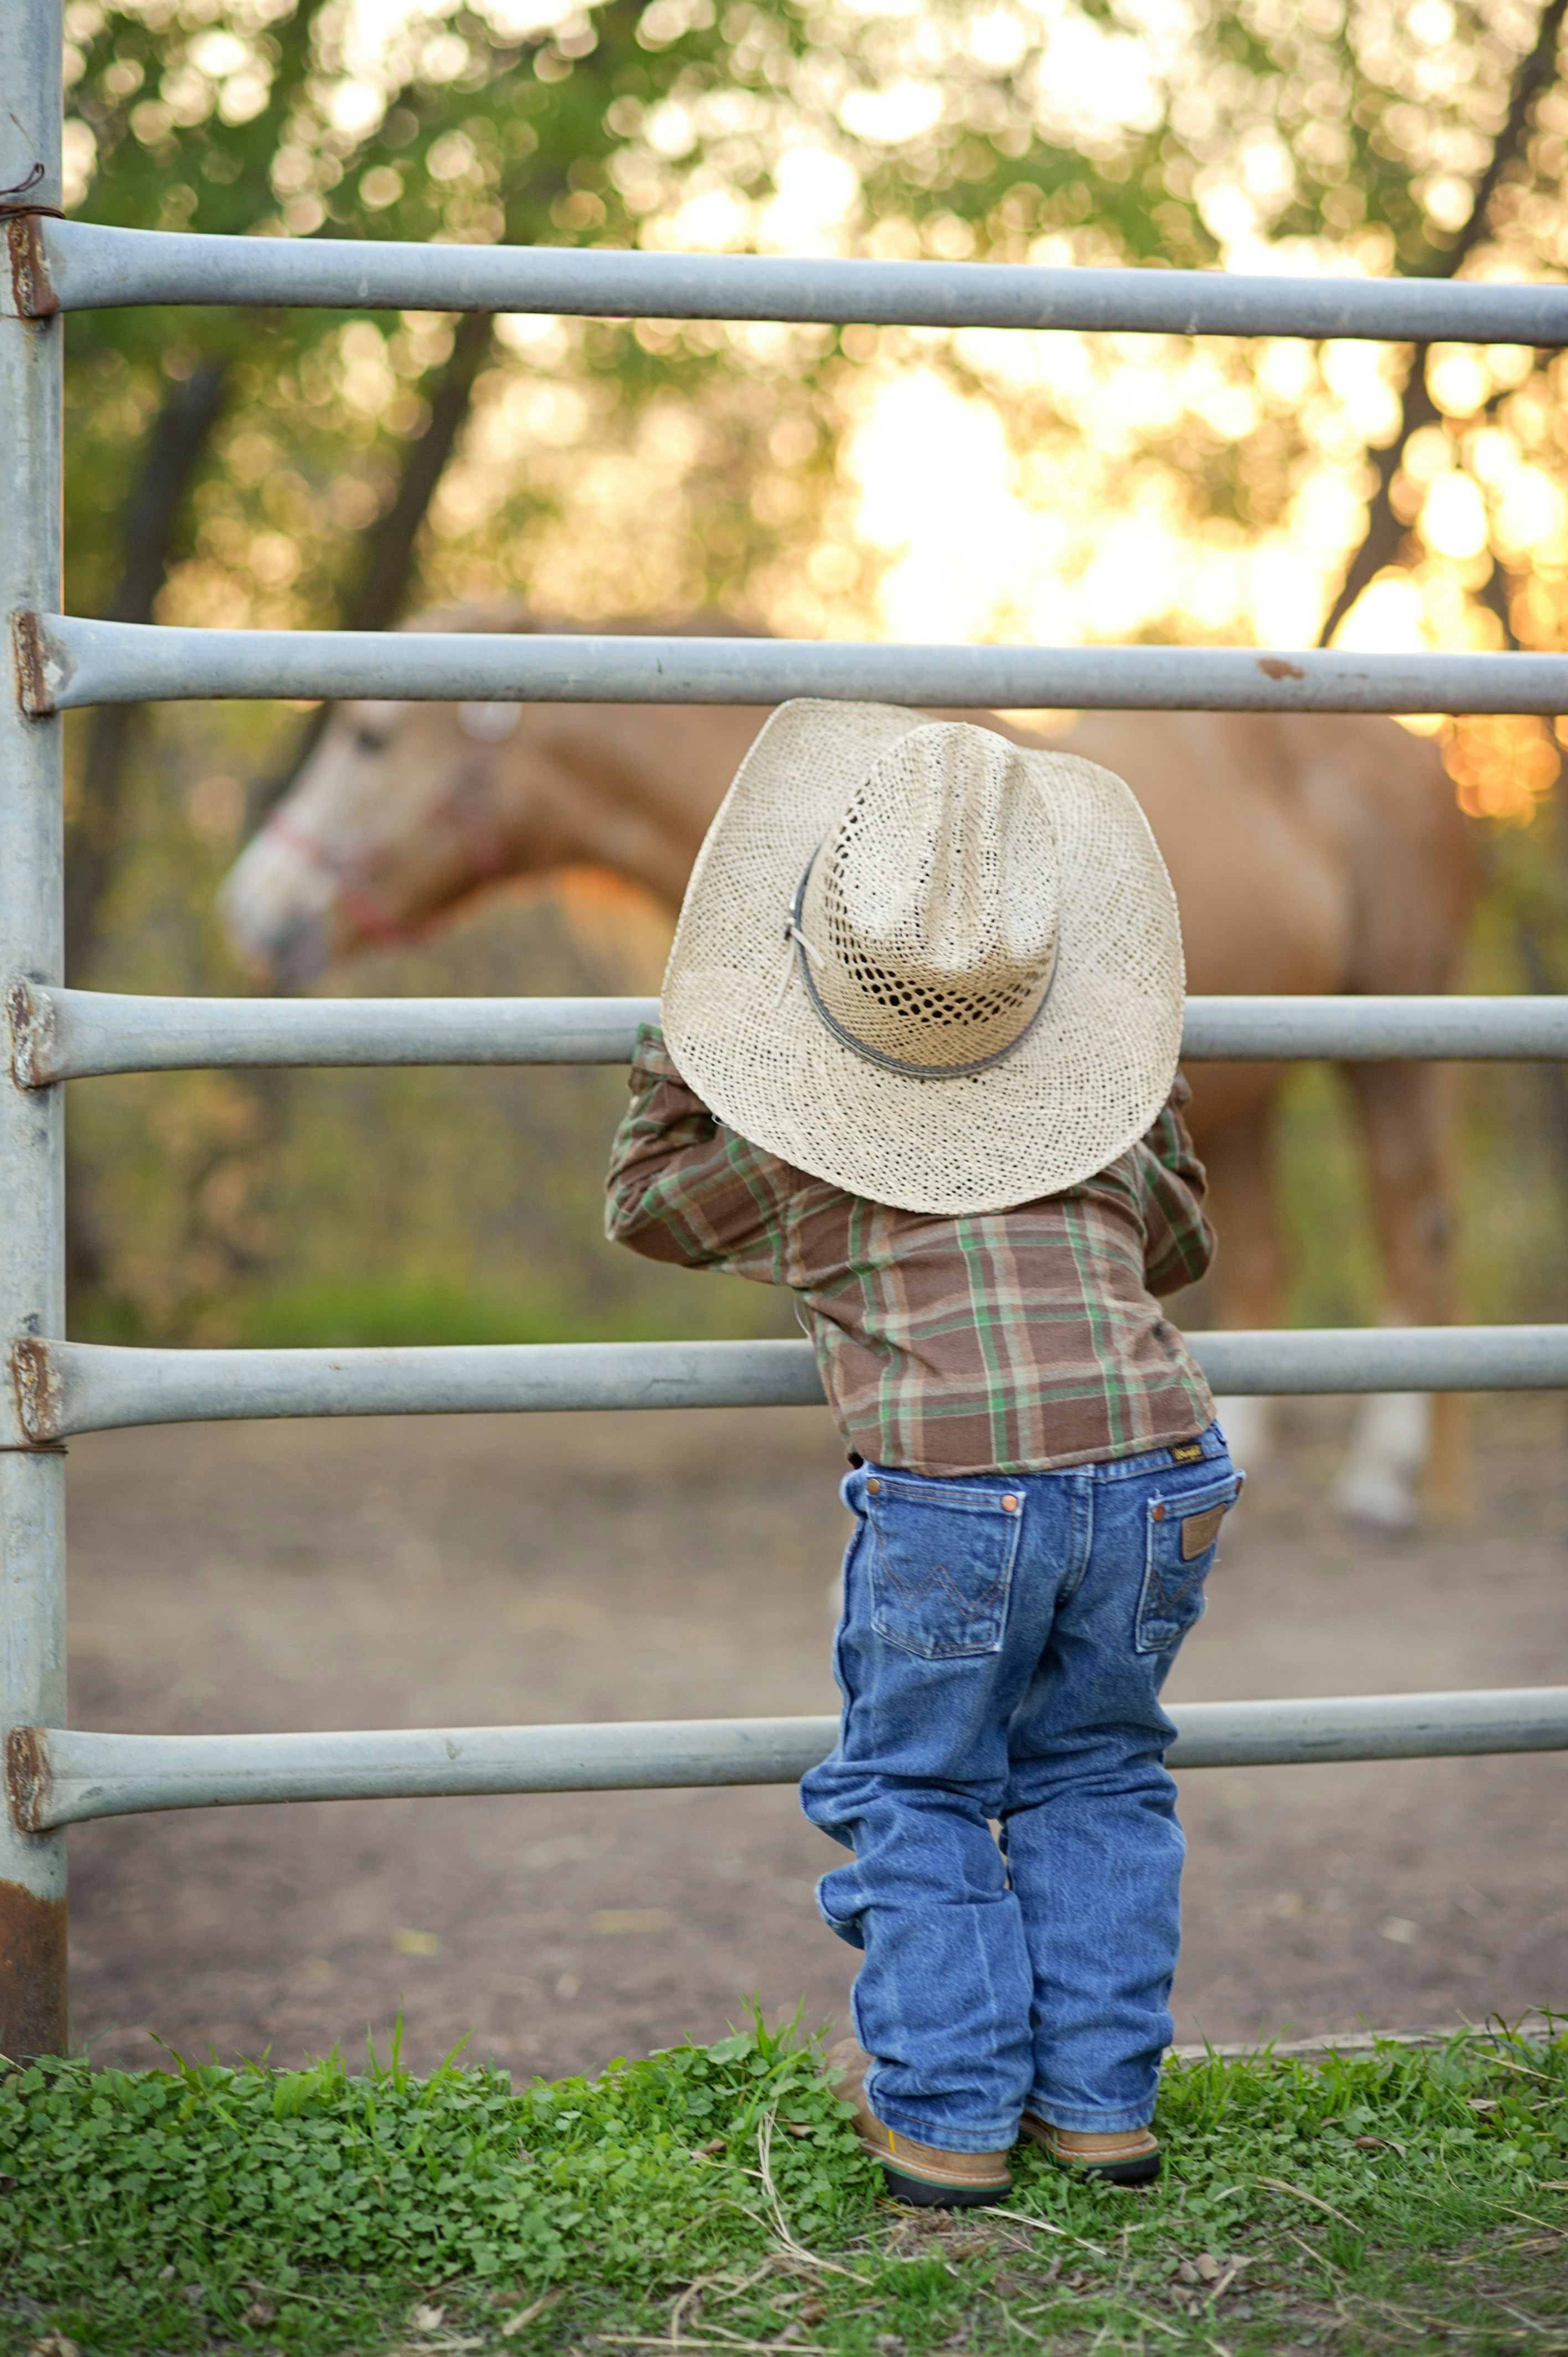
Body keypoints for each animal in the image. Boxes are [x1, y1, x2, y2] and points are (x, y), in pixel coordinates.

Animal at [220, 608, 1481, 1527]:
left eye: (371, 738)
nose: (256, 912)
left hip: (1393, 1051)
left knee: (1413, 1227)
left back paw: (1383, 1481)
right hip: (1258, 1094)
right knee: (1265, 1254)